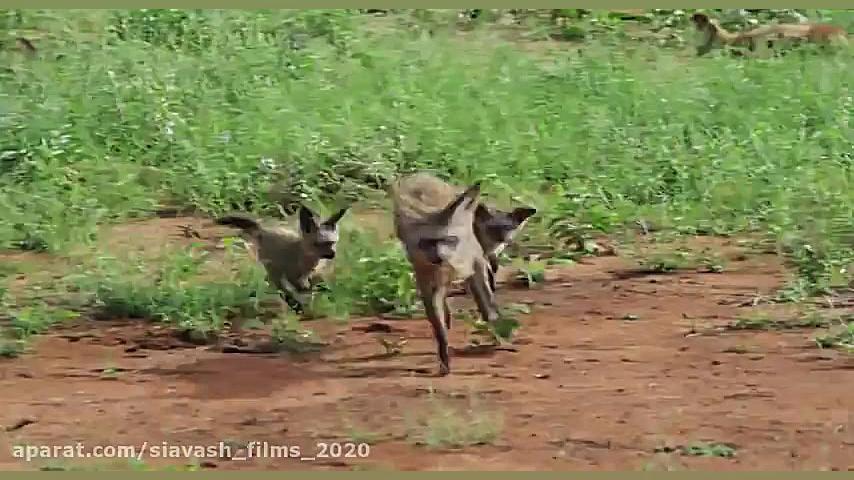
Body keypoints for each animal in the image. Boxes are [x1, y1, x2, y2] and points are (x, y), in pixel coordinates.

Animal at [217, 205, 352, 316]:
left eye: (332, 242)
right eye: (318, 244)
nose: (332, 254)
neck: (309, 264)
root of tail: (263, 229)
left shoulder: (317, 275)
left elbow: (317, 287)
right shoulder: (293, 276)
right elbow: (302, 291)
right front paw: (302, 306)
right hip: (274, 270)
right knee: (278, 287)